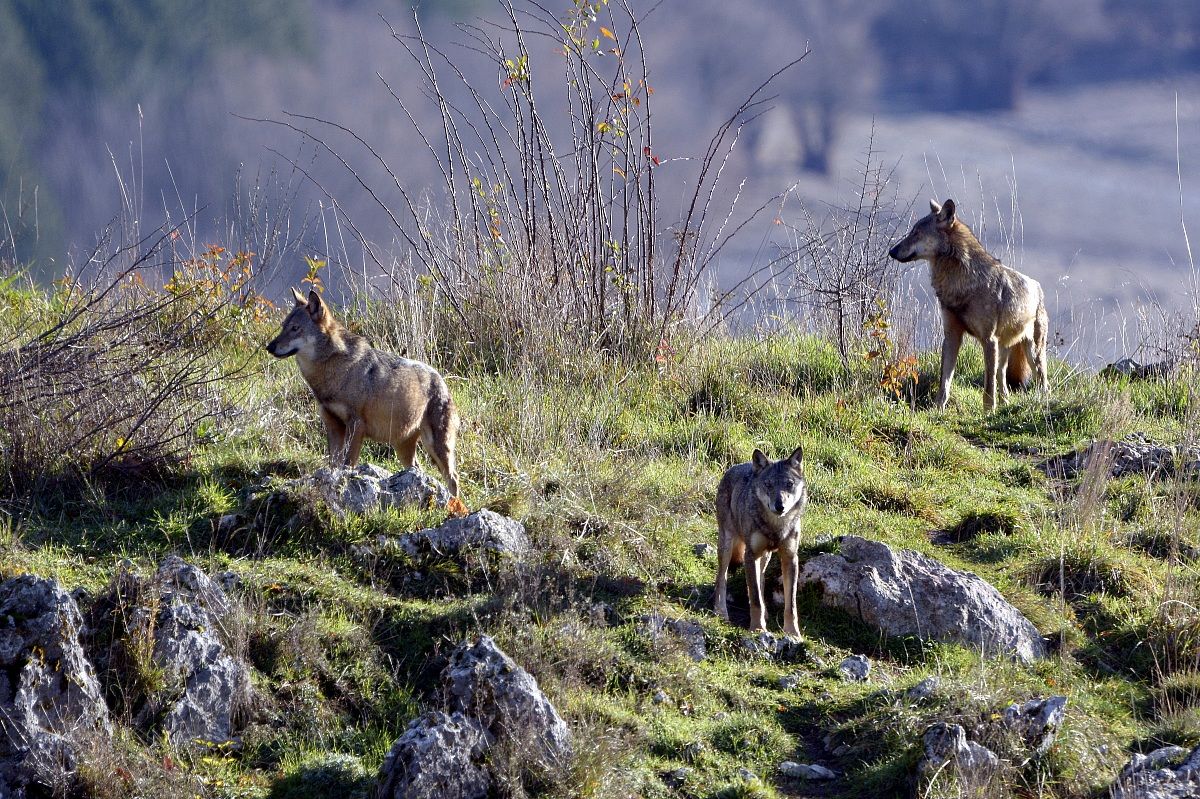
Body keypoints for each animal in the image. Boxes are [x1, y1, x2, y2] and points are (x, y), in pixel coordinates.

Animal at [266, 288, 460, 496]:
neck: (332, 371)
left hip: (437, 447)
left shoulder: (355, 425)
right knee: (418, 470)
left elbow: (348, 464)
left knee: (453, 478)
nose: (269, 347)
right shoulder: (332, 425)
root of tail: (441, 380)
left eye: (295, 328)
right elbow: (333, 464)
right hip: (404, 450)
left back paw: (453, 503)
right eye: (283, 327)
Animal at [714, 447, 807, 637]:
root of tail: (736, 466)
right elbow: (755, 598)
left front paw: (793, 633)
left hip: (765, 556)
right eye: (768, 485)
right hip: (727, 545)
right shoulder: (750, 555)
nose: (780, 506)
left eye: (789, 484)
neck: (776, 526)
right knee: (722, 578)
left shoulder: (790, 557)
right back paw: (721, 611)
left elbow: (791, 605)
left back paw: (765, 613)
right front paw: (757, 628)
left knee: (761, 579)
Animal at [888, 199, 1050, 411]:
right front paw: (938, 409)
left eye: (916, 233)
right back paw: (1005, 404)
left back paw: (1042, 404)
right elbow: (945, 381)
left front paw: (988, 412)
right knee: (1003, 380)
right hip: (1004, 351)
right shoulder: (952, 336)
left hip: (1032, 352)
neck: (962, 282)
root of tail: (1038, 287)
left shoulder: (988, 340)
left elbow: (988, 386)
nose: (891, 251)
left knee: (1043, 383)